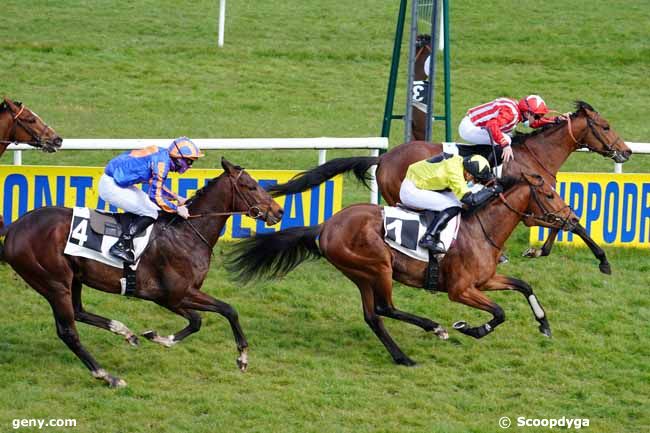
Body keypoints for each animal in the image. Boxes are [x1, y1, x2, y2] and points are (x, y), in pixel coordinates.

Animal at [228, 172, 576, 364]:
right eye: (548, 194)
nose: (572, 219)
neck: (482, 229)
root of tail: (324, 227)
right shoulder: (460, 290)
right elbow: (500, 313)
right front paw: (471, 329)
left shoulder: (486, 280)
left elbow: (524, 285)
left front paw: (544, 325)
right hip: (378, 266)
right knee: (385, 307)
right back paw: (434, 328)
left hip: (360, 275)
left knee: (373, 315)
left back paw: (402, 358)